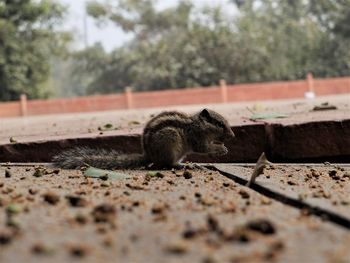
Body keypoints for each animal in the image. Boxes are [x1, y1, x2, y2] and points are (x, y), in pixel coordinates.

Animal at [52, 108, 235, 170]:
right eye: (219, 123)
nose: (232, 136)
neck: (197, 124)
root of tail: (149, 155)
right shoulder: (195, 137)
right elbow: (203, 148)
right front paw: (221, 149)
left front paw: (223, 146)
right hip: (171, 140)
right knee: (167, 164)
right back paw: (185, 166)